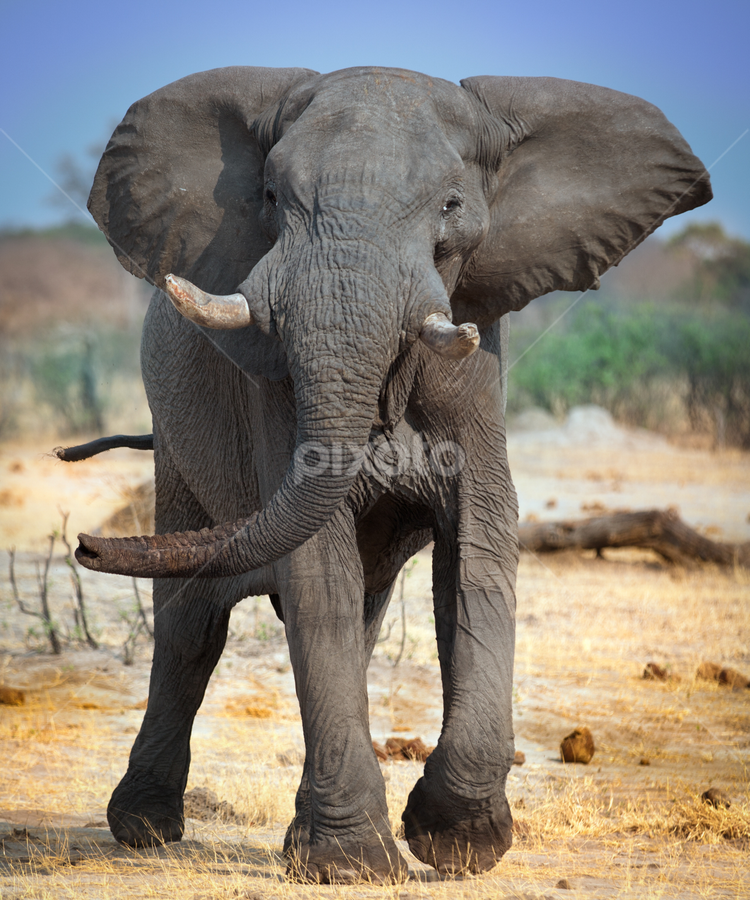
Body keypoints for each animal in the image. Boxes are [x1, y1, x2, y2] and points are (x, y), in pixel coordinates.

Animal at [74, 65, 710, 883]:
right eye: (271, 197)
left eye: (450, 206)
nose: (85, 545)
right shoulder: (273, 384)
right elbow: (317, 567)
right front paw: (353, 866)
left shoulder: (480, 373)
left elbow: (479, 550)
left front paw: (455, 844)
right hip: (178, 447)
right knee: (192, 625)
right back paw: (146, 830)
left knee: (357, 622)